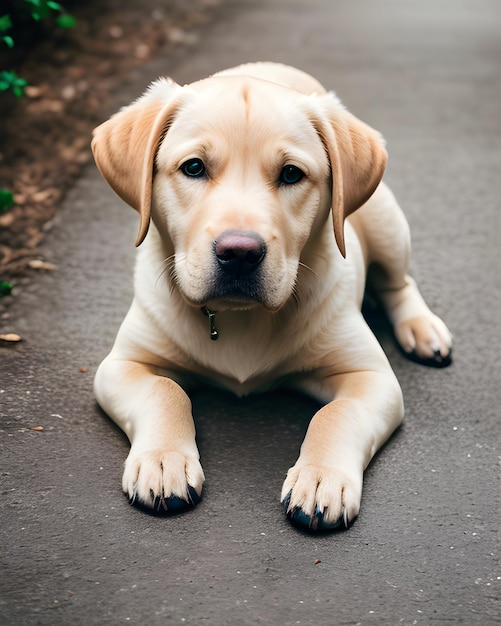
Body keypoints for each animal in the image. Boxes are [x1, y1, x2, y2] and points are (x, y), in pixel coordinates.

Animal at [92, 61, 452, 528]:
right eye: (193, 167)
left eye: (291, 174)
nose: (240, 254)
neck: (240, 318)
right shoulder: (121, 365)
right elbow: (164, 390)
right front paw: (163, 460)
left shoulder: (372, 377)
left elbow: (335, 413)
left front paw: (320, 478)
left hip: (386, 224)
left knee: (398, 283)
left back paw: (422, 329)